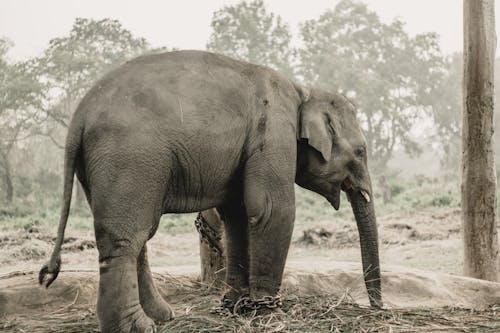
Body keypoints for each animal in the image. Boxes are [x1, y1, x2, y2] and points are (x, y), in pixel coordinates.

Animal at [40, 50, 382, 332]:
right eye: (362, 151)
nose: (377, 309)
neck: (304, 91)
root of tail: (79, 115)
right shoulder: (273, 132)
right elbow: (271, 209)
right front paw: (269, 313)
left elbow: (238, 214)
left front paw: (236, 306)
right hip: (129, 157)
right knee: (127, 237)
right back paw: (138, 327)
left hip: (102, 167)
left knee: (136, 236)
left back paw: (162, 316)